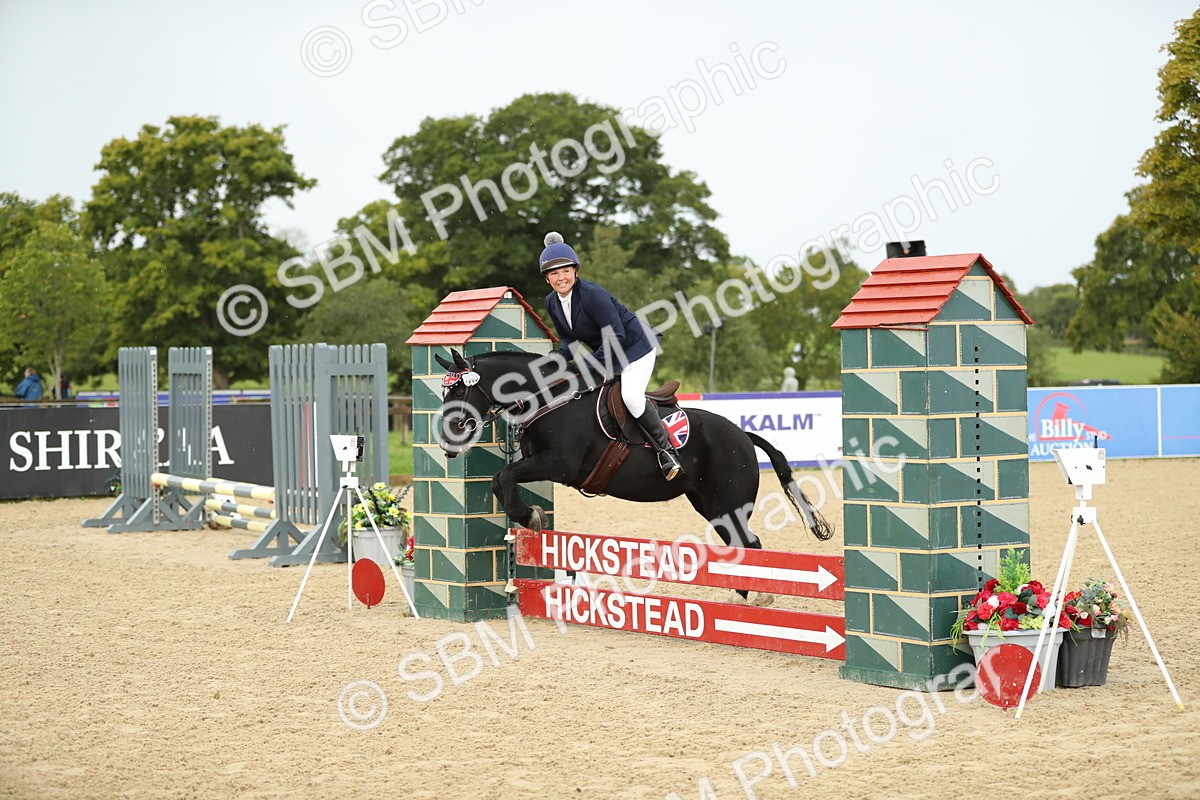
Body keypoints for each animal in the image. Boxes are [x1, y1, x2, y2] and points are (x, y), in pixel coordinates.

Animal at [434, 349, 834, 601]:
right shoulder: (540, 463)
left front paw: (529, 516)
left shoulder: (561, 464)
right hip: (712, 506)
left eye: (460, 390)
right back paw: (744, 597)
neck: (550, 401)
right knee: (741, 546)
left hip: (728, 503)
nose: (448, 444)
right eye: (444, 391)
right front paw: (529, 515)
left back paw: (754, 599)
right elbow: (500, 479)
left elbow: (506, 475)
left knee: (750, 544)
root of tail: (743, 435)